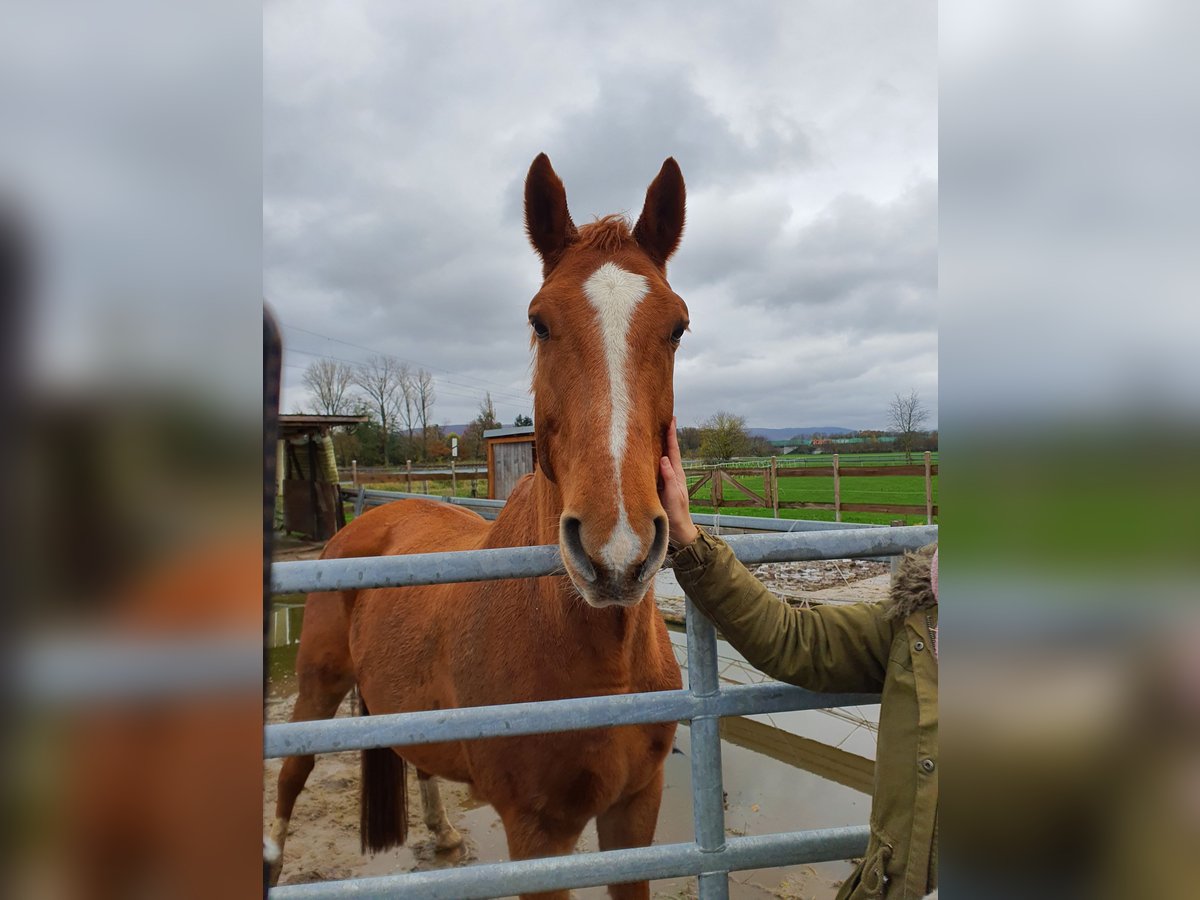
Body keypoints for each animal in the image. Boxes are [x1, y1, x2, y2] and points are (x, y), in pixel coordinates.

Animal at [268, 153, 691, 897]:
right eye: (540, 322)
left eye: (677, 327)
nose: (616, 554)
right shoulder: (538, 833)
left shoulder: (637, 812)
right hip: (317, 682)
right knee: (291, 774)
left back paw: (441, 833)